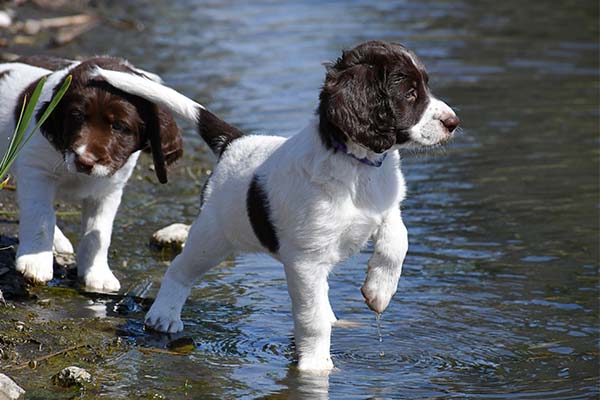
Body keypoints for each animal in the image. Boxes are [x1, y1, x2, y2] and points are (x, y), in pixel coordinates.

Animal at [0, 56, 183, 292]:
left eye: (119, 126)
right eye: (77, 116)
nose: (84, 161)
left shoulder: (108, 190)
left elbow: (98, 233)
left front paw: (97, 274)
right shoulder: (36, 171)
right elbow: (40, 216)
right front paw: (35, 261)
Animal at [94, 40, 460, 372]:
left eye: (424, 87)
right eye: (410, 94)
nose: (453, 122)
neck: (357, 167)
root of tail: (235, 142)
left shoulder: (385, 208)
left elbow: (398, 239)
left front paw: (379, 292)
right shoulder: (306, 260)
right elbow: (311, 319)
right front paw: (316, 366)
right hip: (214, 237)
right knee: (180, 269)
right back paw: (163, 315)